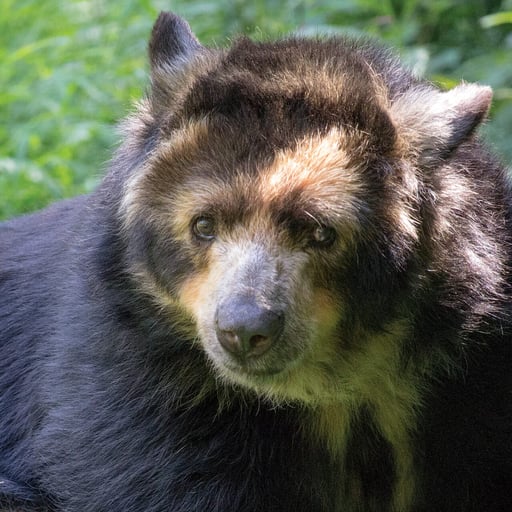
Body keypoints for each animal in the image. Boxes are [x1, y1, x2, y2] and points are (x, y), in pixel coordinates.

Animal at [1, 12, 512, 512]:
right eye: (203, 224)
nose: (245, 331)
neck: (340, 380)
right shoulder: (137, 376)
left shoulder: (469, 375)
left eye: (320, 232)